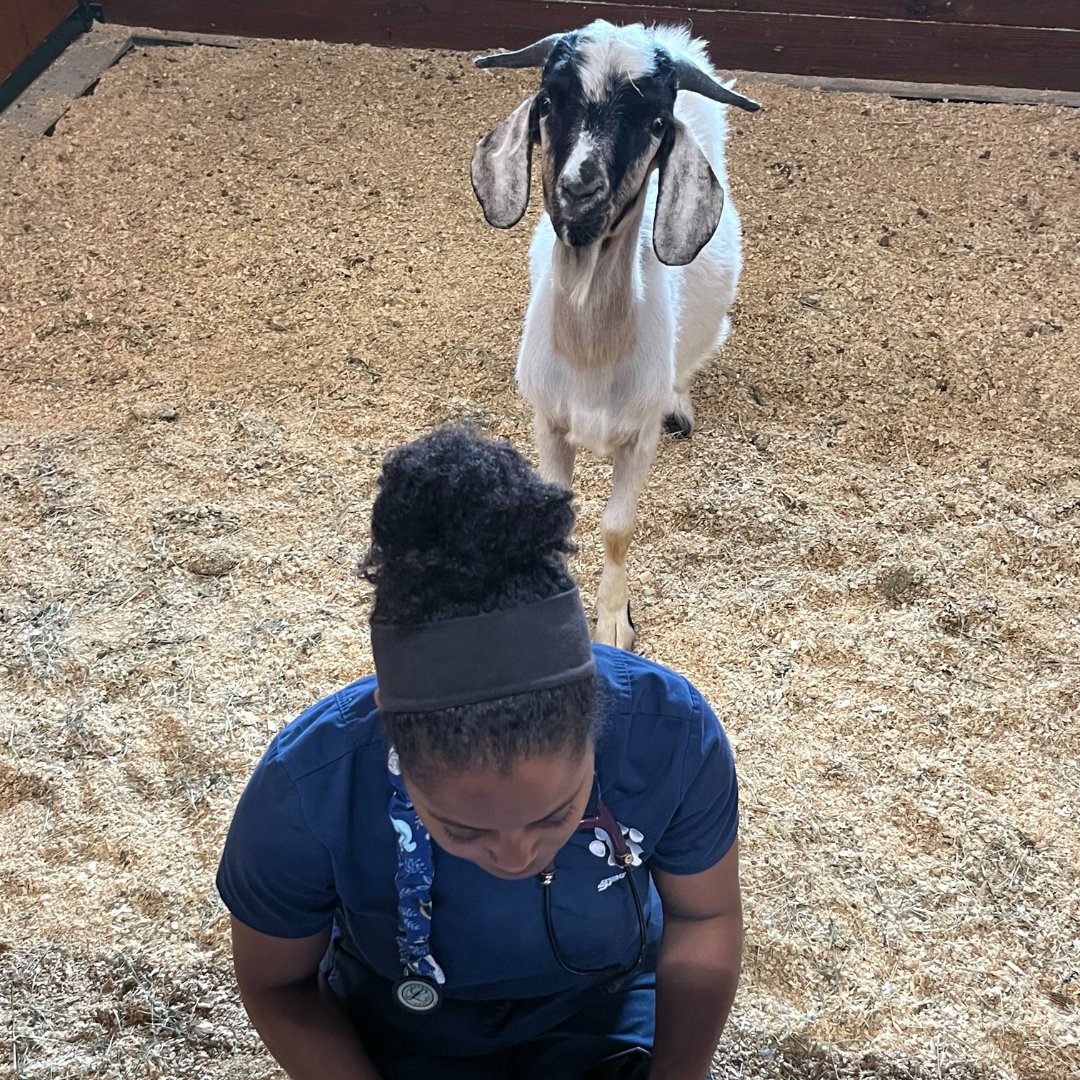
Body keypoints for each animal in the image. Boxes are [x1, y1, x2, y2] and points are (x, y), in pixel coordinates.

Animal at [473, 23, 760, 648]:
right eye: (549, 101)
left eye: (654, 121)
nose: (580, 188)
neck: (591, 354)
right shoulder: (549, 422)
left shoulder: (638, 438)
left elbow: (617, 528)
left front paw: (611, 626)